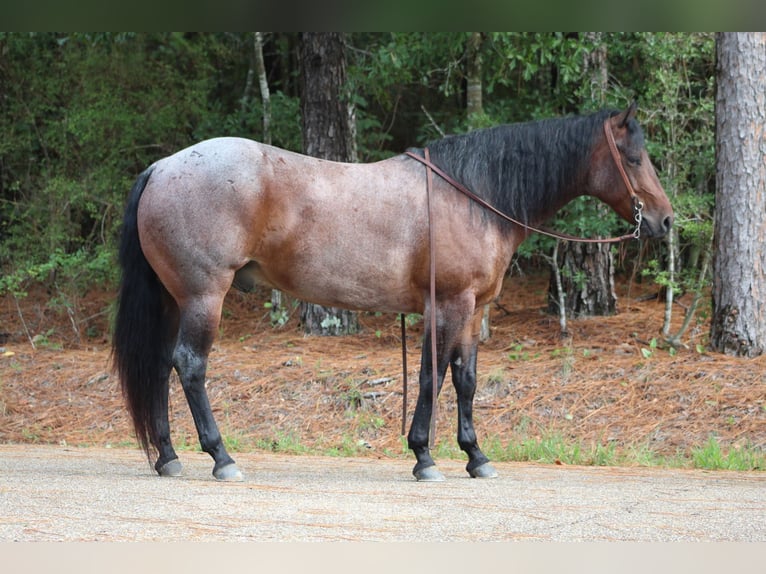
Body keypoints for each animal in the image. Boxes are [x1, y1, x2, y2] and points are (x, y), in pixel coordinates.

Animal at [111, 102, 676, 482]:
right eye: (633, 155)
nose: (666, 220)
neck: (473, 196)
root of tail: (162, 167)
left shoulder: (473, 311)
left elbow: (465, 381)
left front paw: (476, 456)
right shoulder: (447, 305)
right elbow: (432, 377)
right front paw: (424, 457)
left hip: (175, 299)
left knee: (159, 367)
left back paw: (169, 457)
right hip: (204, 297)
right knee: (189, 366)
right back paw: (221, 457)